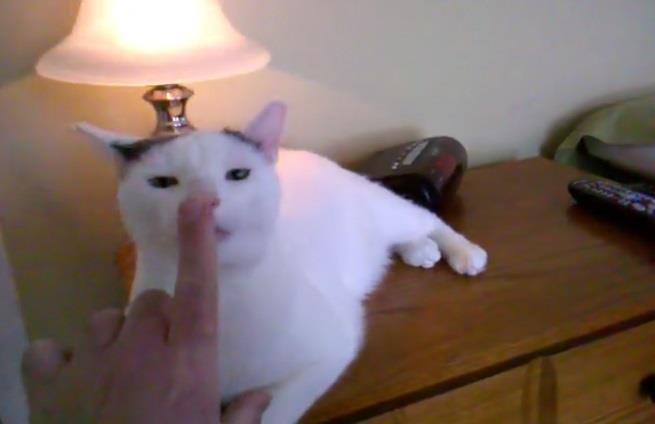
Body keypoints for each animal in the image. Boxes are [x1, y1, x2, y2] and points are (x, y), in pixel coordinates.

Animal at [78, 102, 487, 424]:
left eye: (238, 174)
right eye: (162, 183)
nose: (203, 202)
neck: (225, 294)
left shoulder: (330, 348)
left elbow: (273, 412)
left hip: (385, 209)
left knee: (425, 217)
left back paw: (462, 252)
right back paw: (419, 250)